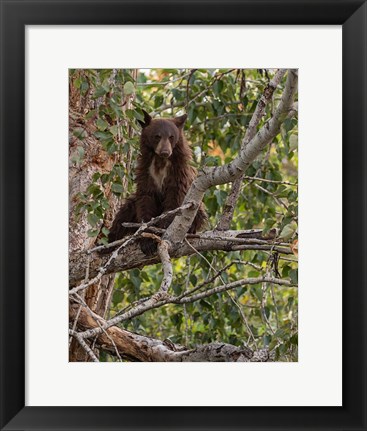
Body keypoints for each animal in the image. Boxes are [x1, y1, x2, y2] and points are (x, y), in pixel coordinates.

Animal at [108, 109, 208, 255]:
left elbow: (175, 198)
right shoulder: (146, 172)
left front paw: (161, 230)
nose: (165, 151)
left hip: (198, 211)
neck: (161, 161)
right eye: (157, 136)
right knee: (125, 212)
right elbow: (146, 198)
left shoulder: (179, 172)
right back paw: (108, 243)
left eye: (171, 136)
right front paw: (147, 240)